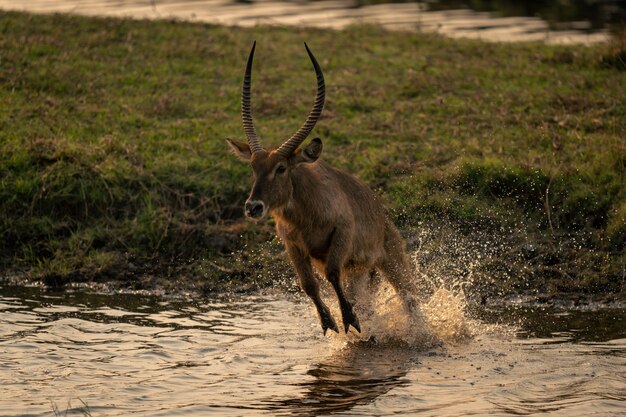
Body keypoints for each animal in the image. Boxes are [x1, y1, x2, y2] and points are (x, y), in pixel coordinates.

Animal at [227, 41, 416, 334]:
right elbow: (309, 285)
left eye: (281, 168)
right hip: (362, 271)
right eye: (253, 167)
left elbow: (331, 274)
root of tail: (380, 211)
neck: (306, 212)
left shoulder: (341, 235)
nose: (253, 207)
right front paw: (329, 321)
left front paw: (350, 318)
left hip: (390, 261)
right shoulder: (293, 246)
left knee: (410, 298)